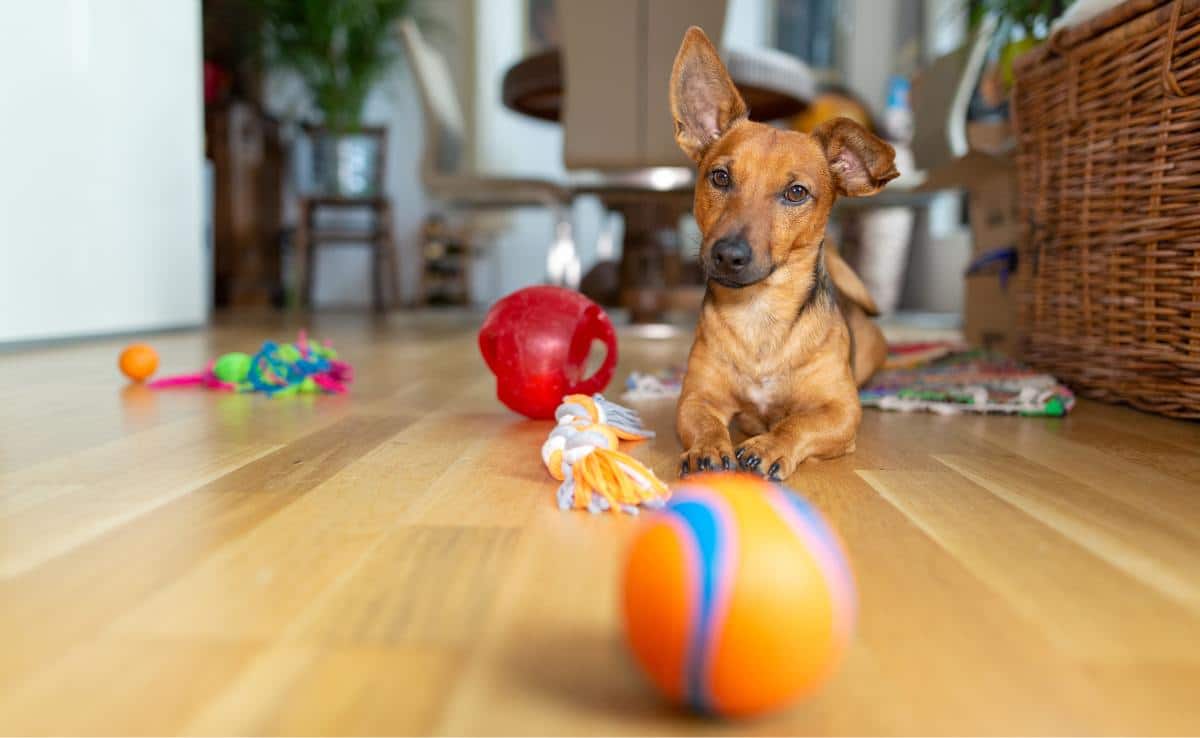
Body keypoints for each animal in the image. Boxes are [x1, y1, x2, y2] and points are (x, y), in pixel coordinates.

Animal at [672, 27, 897, 480]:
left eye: (796, 193)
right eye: (719, 177)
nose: (728, 255)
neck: (760, 315)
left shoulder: (841, 411)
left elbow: (798, 423)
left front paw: (771, 445)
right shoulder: (695, 398)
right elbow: (705, 423)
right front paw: (708, 448)